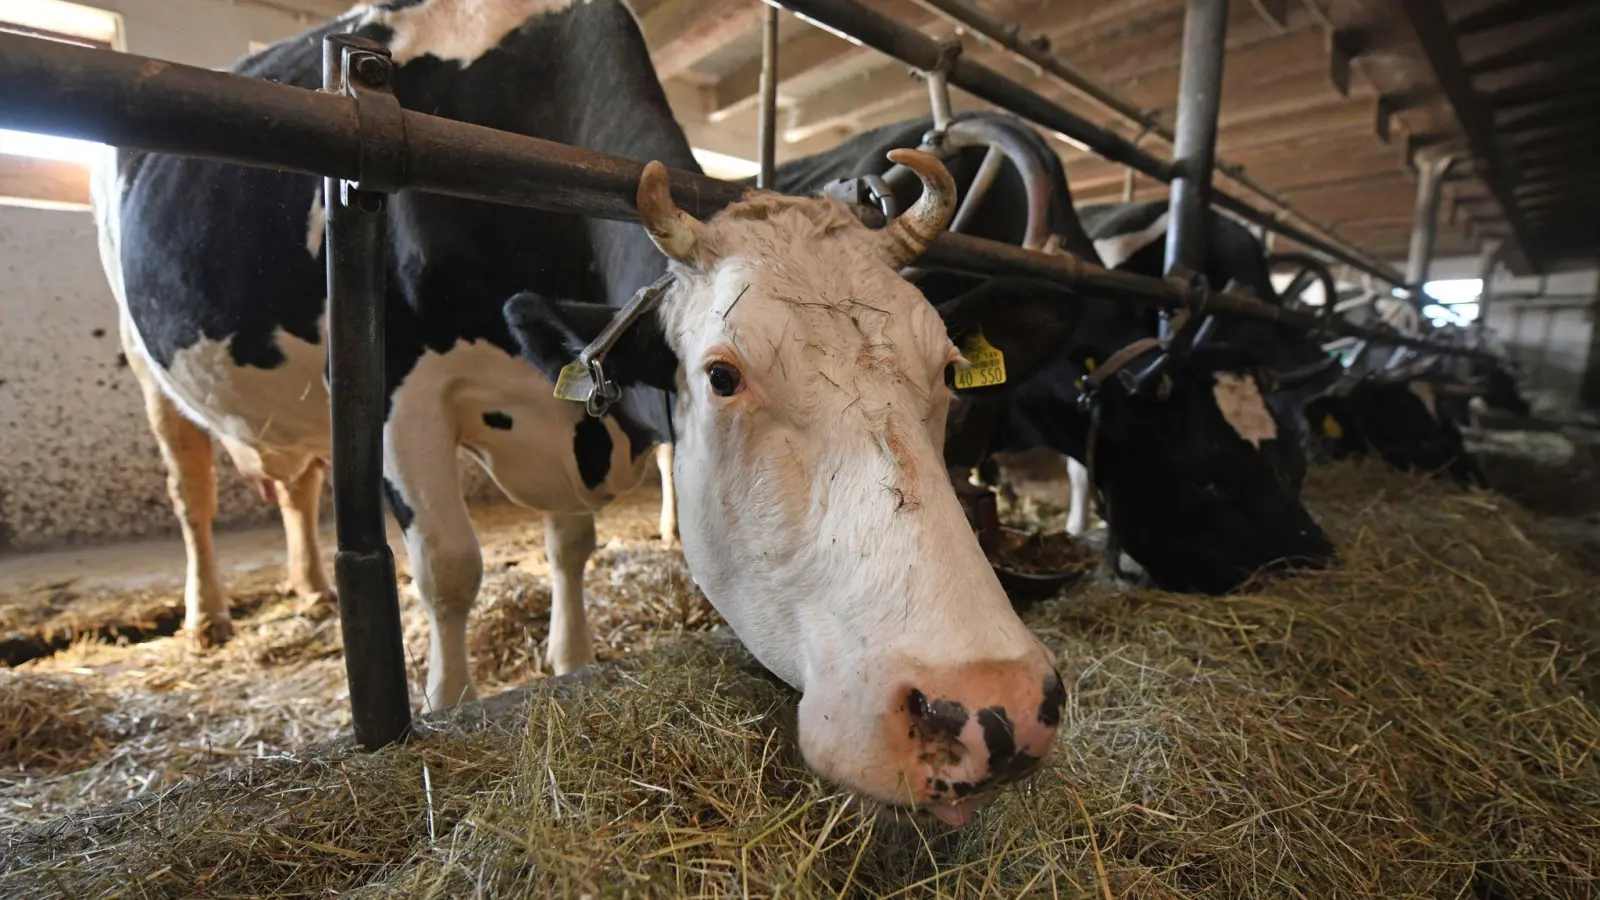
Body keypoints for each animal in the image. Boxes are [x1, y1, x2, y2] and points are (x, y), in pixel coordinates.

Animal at [90, 0, 1075, 819]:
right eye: (723, 376)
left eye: (946, 369)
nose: (992, 708)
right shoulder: (393, 390)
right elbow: (449, 567)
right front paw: (447, 704)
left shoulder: (573, 412)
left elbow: (572, 543)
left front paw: (569, 660)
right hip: (148, 366)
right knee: (193, 490)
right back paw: (210, 616)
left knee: (295, 483)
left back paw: (309, 587)